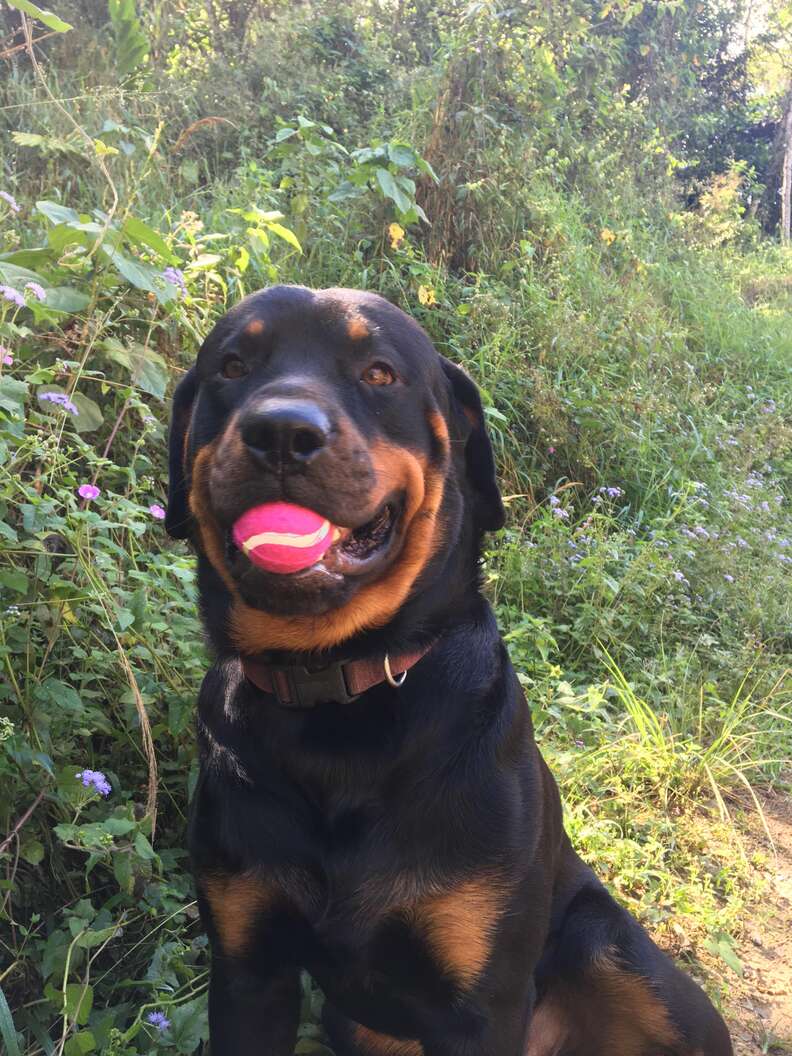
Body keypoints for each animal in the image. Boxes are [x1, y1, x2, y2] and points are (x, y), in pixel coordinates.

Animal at [164, 287, 734, 1056]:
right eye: (232, 365)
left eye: (379, 373)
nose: (281, 431)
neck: (335, 695)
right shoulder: (248, 970)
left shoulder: (479, 1003)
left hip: (615, 950)